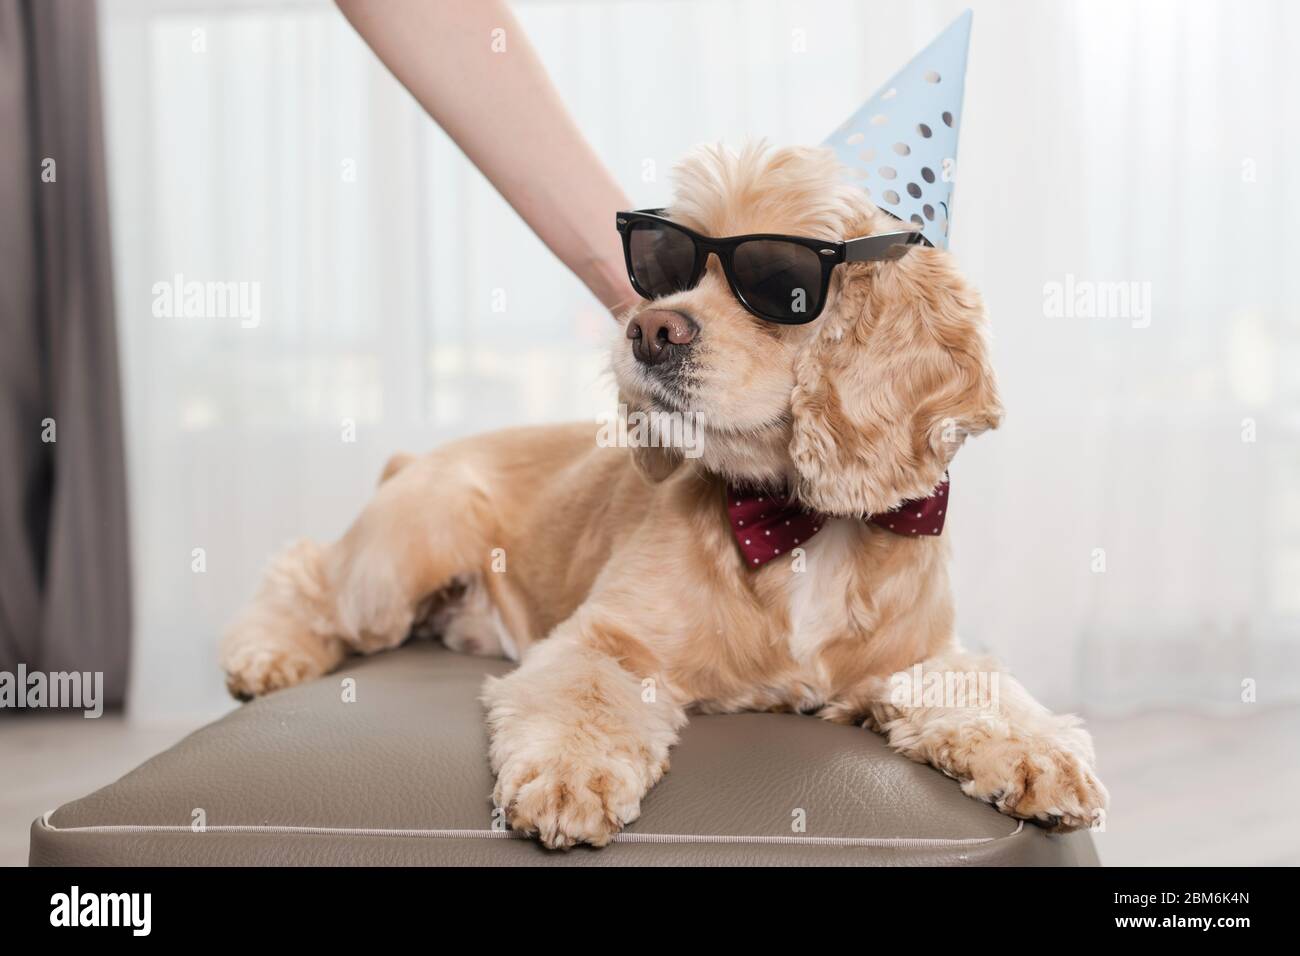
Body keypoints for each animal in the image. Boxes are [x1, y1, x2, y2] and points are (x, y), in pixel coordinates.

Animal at [220, 140, 1107, 842]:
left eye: (782, 282)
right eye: (663, 265)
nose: (650, 330)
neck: (798, 523)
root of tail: (414, 456)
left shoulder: (916, 655)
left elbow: (979, 684)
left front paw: (1043, 751)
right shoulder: (601, 640)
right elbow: (583, 697)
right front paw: (569, 777)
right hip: (405, 553)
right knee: (307, 569)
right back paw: (264, 655)